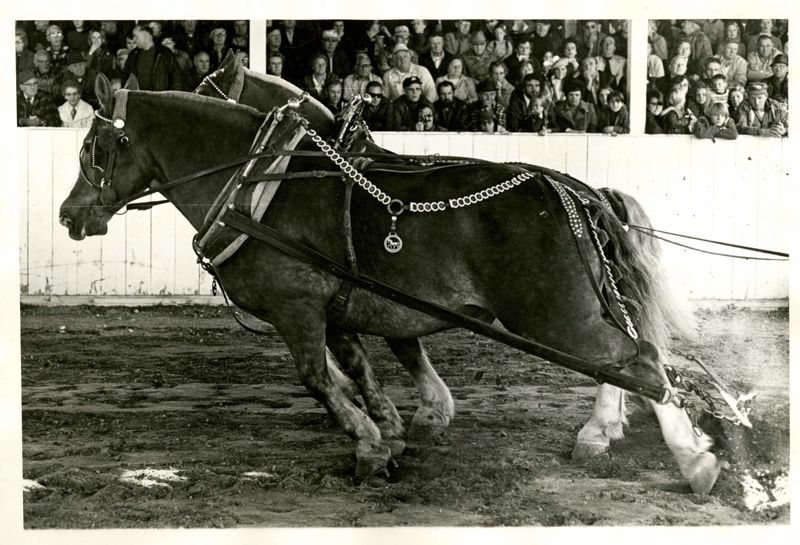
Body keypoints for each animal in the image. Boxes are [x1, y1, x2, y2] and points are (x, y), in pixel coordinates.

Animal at [58, 76, 724, 494]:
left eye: (94, 145)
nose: (69, 215)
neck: (259, 185)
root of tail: (569, 191)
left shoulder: (298, 307)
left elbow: (319, 378)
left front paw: (370, 447)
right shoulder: (346, 306)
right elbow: (365, 367)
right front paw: (398, 427)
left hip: (556, 311)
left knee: (638, 361)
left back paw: (692, 461)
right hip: (578, 305)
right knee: (625, 361)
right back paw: (614, 435)